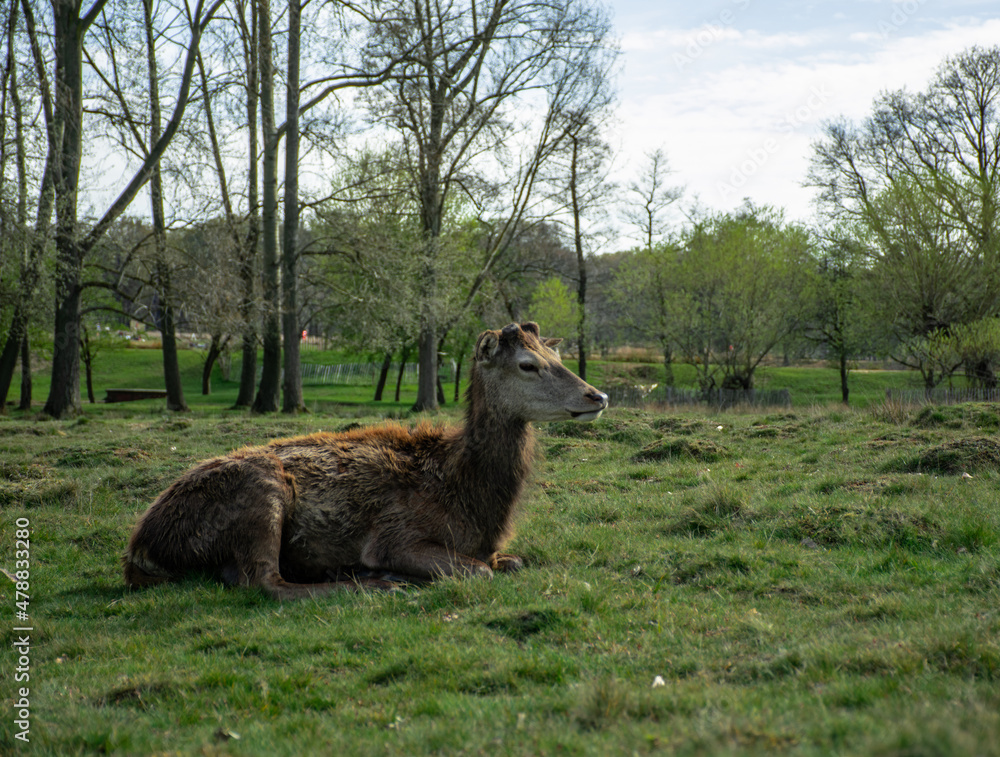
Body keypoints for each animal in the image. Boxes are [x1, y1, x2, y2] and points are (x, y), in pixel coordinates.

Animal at [123, 322, 609, 600]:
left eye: (556, 355)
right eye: (528, 364)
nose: (598, 395)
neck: (471, 499)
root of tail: (141, 542)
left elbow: (511, 562)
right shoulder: (396, 536)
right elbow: (477, 572)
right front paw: (389, 573)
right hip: (260, 490)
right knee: (262, 582)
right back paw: (375, 583)